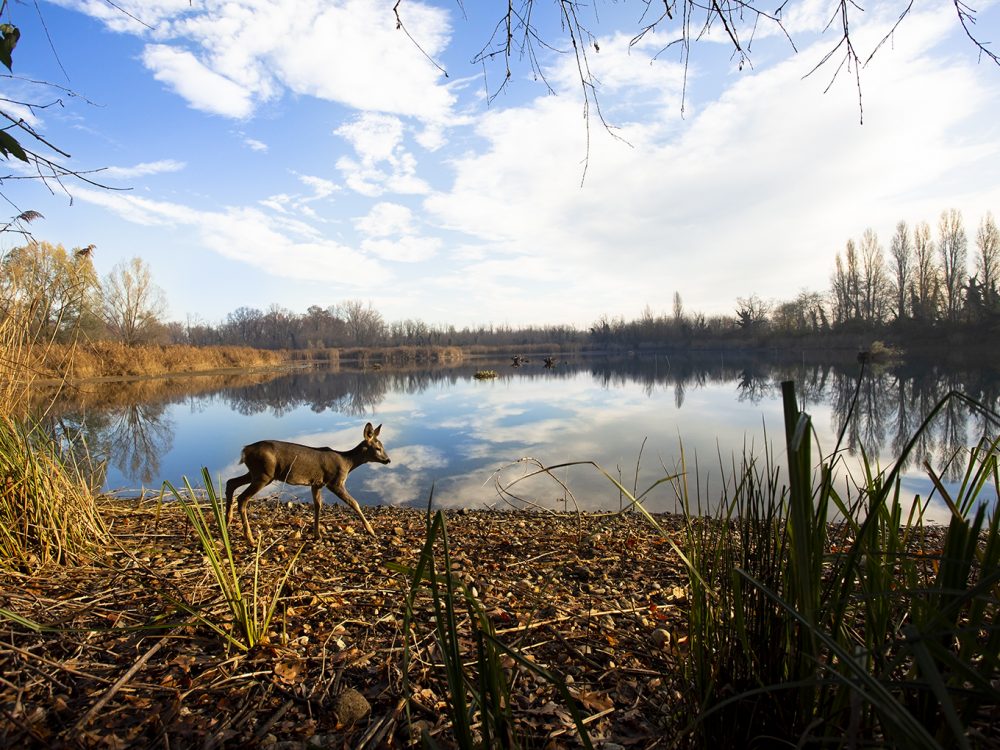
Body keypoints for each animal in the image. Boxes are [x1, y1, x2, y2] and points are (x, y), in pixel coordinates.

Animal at [224, 426, 390, 544]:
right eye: (378, 448)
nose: (388, 460)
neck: (347, 463)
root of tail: (245, 450)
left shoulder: (316, 484)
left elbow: (318, 506)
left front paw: (317, 535)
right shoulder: (334, 482)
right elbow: (354, 503)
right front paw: (371, 531)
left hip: (255, 472)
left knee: (230, 482)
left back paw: (227, 522)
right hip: (264, 474)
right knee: (242, 498)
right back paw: (250, 538)